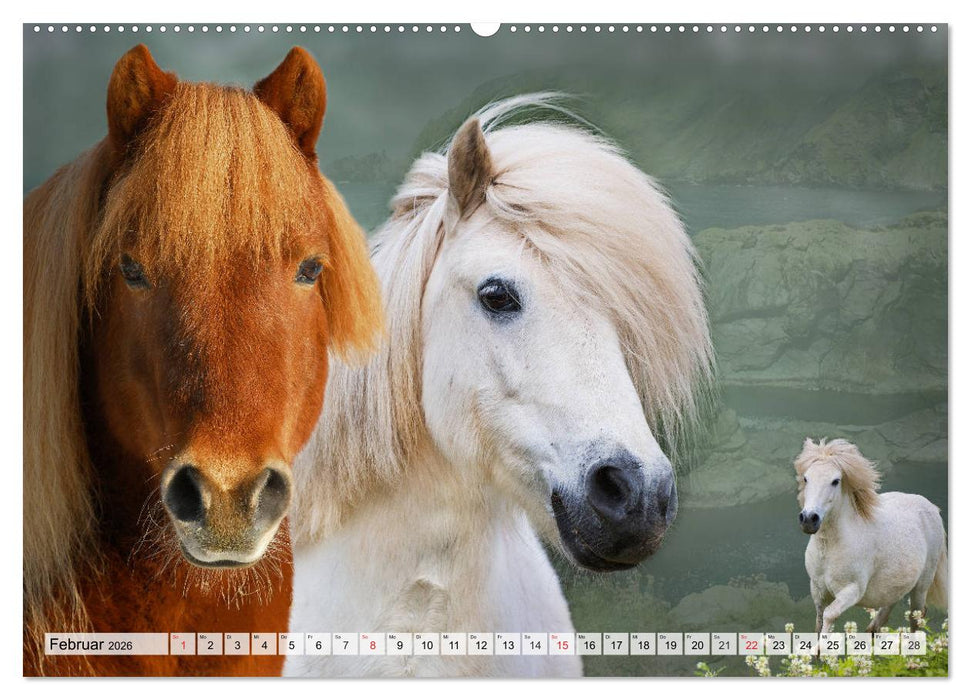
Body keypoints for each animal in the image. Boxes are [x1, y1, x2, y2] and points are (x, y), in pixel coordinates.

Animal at [795, 438, 947, 634]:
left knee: (916, 619)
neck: (830, 548)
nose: (808, 519)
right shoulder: (818, 590)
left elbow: (829, 617)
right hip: (894, 589)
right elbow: (819, 622)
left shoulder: (852, 591)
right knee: (879, 621)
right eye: (806, 478)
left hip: (921, 587)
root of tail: (932, 508)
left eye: (835, 481)